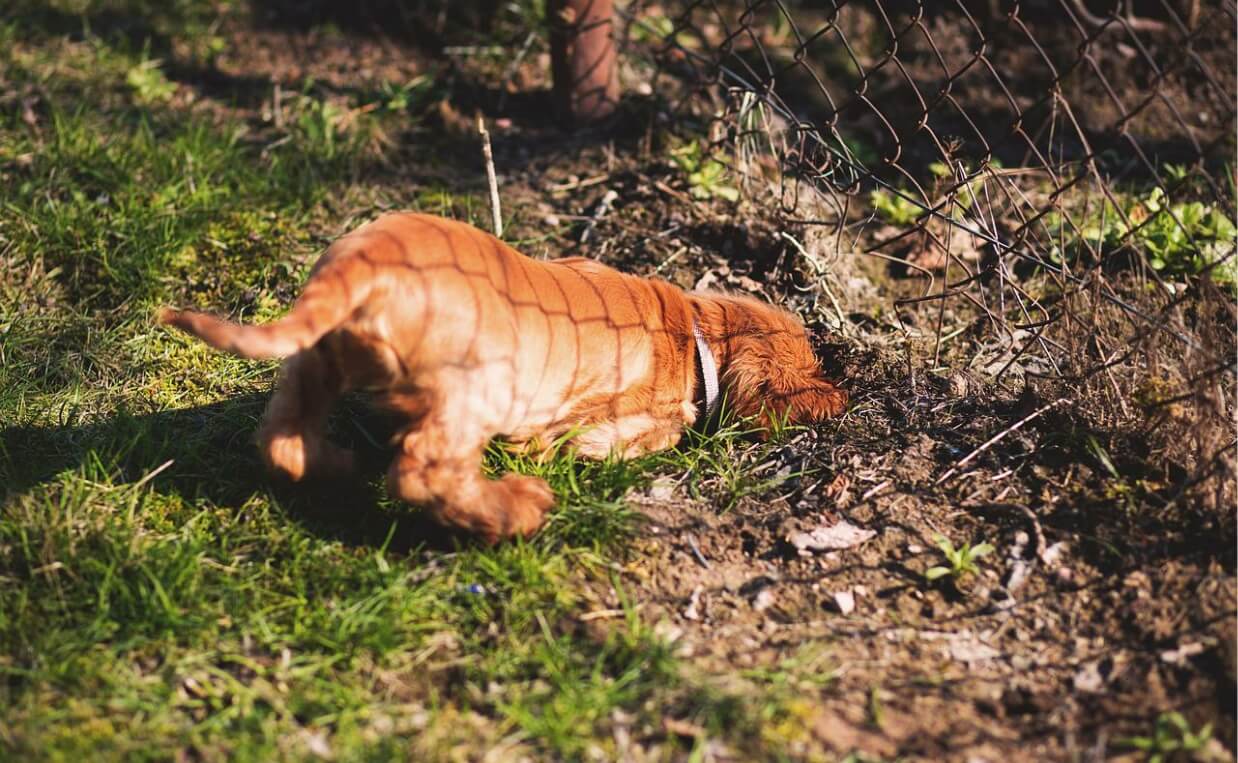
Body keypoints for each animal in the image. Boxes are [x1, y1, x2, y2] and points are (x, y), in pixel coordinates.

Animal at [159, 211, 846, 540]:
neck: (695, 330)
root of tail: (366, 263)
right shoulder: (622, 424)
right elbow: (647, 435)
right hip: (474, 389)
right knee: (423, 470)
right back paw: (516, 510)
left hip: (314, 360)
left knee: (282, 439)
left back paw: (342, 466)